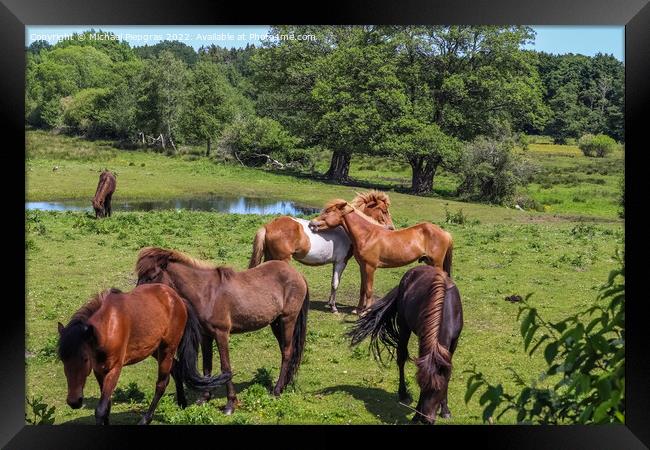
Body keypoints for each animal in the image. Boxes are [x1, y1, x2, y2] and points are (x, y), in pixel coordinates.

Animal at [56, 284, 230, 426]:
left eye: (85, 359)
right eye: (63, 360)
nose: (74, 401)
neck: (108, 327)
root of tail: (177, 298)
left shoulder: (114, 369)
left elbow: (100, 409)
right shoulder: (99, 369)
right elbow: (106, 405)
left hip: (167, 348)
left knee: (162, 383)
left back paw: (146, 418)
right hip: (155, 349)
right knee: (176, 368)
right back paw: (182, 403)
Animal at [134, 248, 308, 414]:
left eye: (151, 276)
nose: (139, 299)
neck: (206, 293)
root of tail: (297, 274)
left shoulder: (221, 334)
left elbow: (226, 367)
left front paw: (230, 404)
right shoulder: (205, 336)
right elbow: (207, 366)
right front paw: (204, 398)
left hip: (287, 320)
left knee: (287, 352)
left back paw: (277, 390)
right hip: (276, 323)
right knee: (286, 351)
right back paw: (284, 386)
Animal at [246, 190, 392, 312]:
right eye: (384, 210)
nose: (391, 228)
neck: (346, 231)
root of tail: (268, 226)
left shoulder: (335, 263)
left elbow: (333, 282)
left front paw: (329, 303)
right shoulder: (341, 262)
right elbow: (335, 283)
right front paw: (333, 307)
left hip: (270, 257)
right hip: (282, 259)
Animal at [308, 199, 450, 314]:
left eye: (328, 211)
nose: (311, 224)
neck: (368, 235)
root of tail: (445, 233)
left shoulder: (370, 267)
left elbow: (369, 289)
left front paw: (366, 311)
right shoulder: (362, 267)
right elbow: (363, 288)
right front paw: (358, 310)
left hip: (437, 263)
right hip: (430, 262)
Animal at [344, 266, 460, 424]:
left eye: (439, 389)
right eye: (422, 385)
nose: (426, 419)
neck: (445, 310)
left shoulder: (453, 342)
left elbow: (447, 373)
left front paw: (445, 410)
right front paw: (416, 415)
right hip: (404, 326)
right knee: (401, 358)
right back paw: (403, 394)